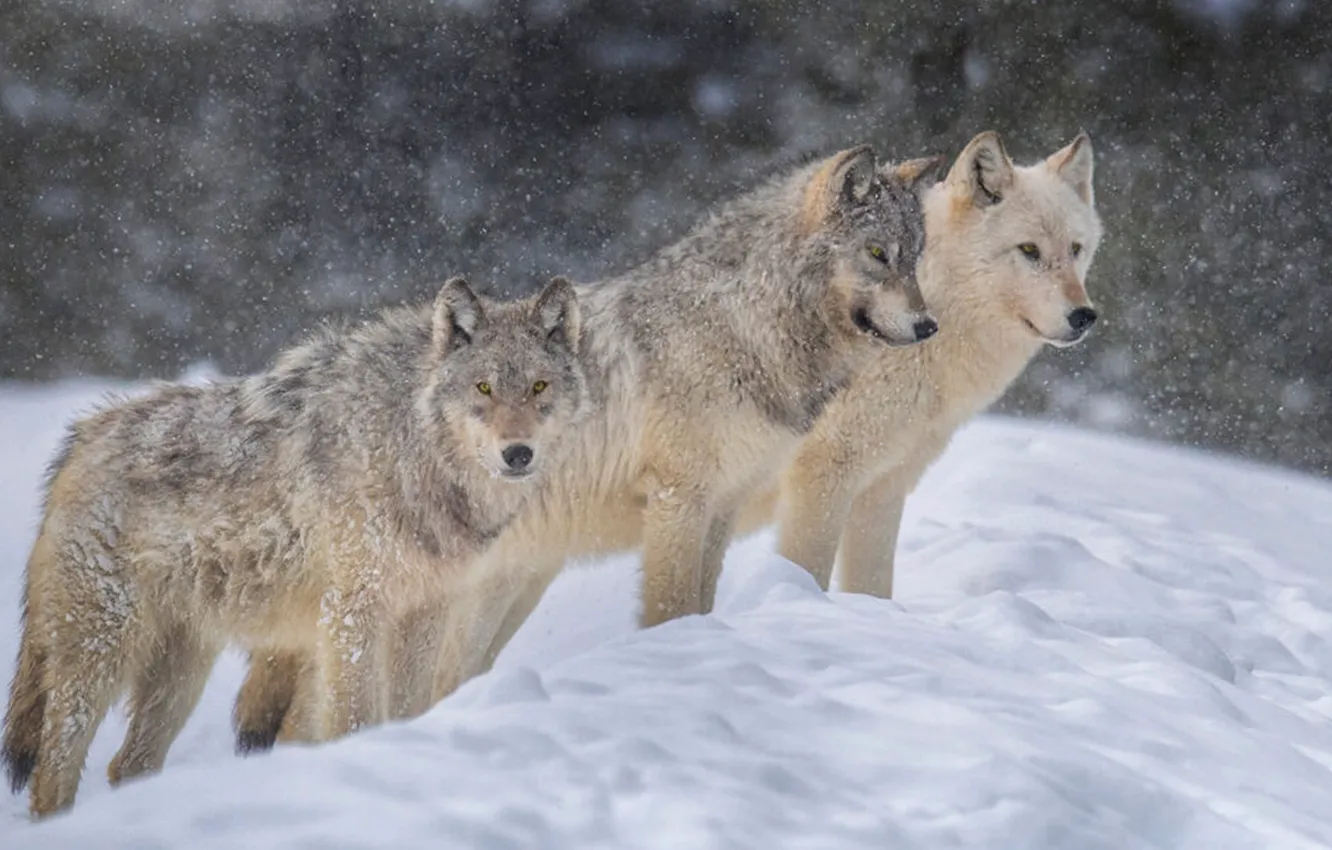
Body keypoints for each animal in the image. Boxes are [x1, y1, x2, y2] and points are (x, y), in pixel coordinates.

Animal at [2, 275, 587, 817]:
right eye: (484, 388)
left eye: (538, 386)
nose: (518, 454)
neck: (408, 447)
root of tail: (81, 438)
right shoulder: (351, 614)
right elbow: (352, 716)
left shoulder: (426, 612)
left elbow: (407, 707)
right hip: (103, 656)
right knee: (52, 776)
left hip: (180, 673)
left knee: (126, 765)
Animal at [230, 145, 944, 750]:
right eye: (877, 252)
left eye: (915, 256)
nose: (928, 325)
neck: (744, 326)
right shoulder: (678, 500)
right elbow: (670, 608)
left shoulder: (724, 504)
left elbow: (702, 605)